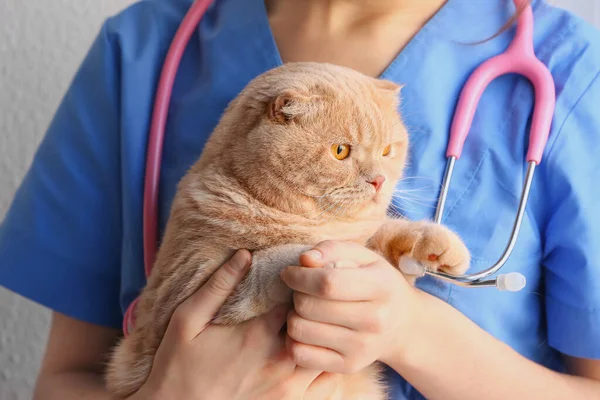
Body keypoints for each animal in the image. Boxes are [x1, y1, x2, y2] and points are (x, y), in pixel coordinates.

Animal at [105, 61, 472, 398]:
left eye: (387, 151)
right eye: (340, 151)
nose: (379, 180)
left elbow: (385, 236)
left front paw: (435, 242)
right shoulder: (185, 285)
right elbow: (270, 260)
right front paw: (324, 258)